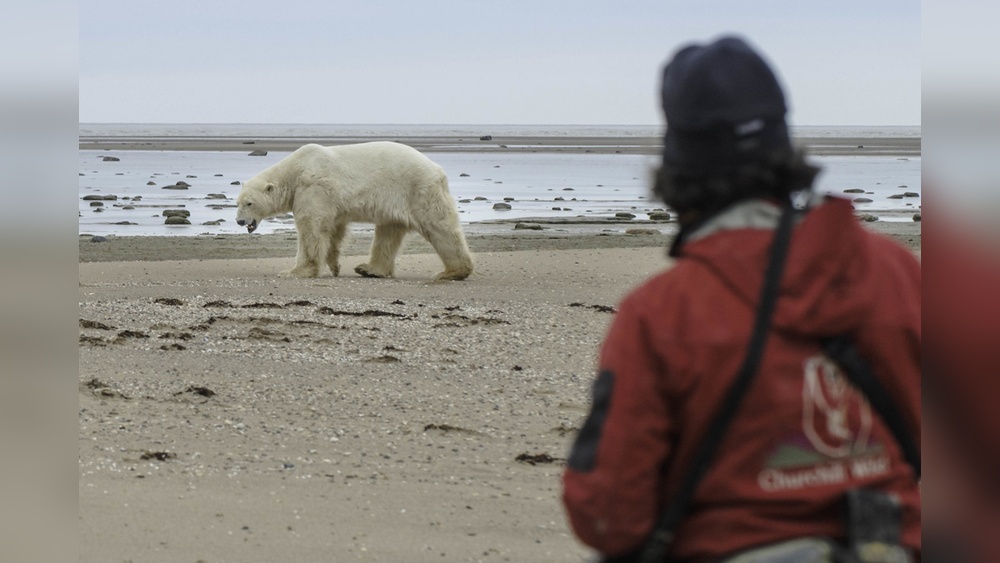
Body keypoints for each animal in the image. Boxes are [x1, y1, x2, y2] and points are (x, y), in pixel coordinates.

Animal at [235, 141, 474, 281]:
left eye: (249, 203)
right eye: (238, 203)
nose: (239, 221)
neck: (295, 170)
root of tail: (438, 169)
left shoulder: (313, 188)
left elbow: (311, 227)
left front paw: (294, 271)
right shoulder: (331, 201)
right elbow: (333, 230)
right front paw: (334, 267)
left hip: (417, 189)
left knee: (439, 226)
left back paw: (453, 272)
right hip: (397, 201)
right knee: (388, 233)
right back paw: (370, 269)